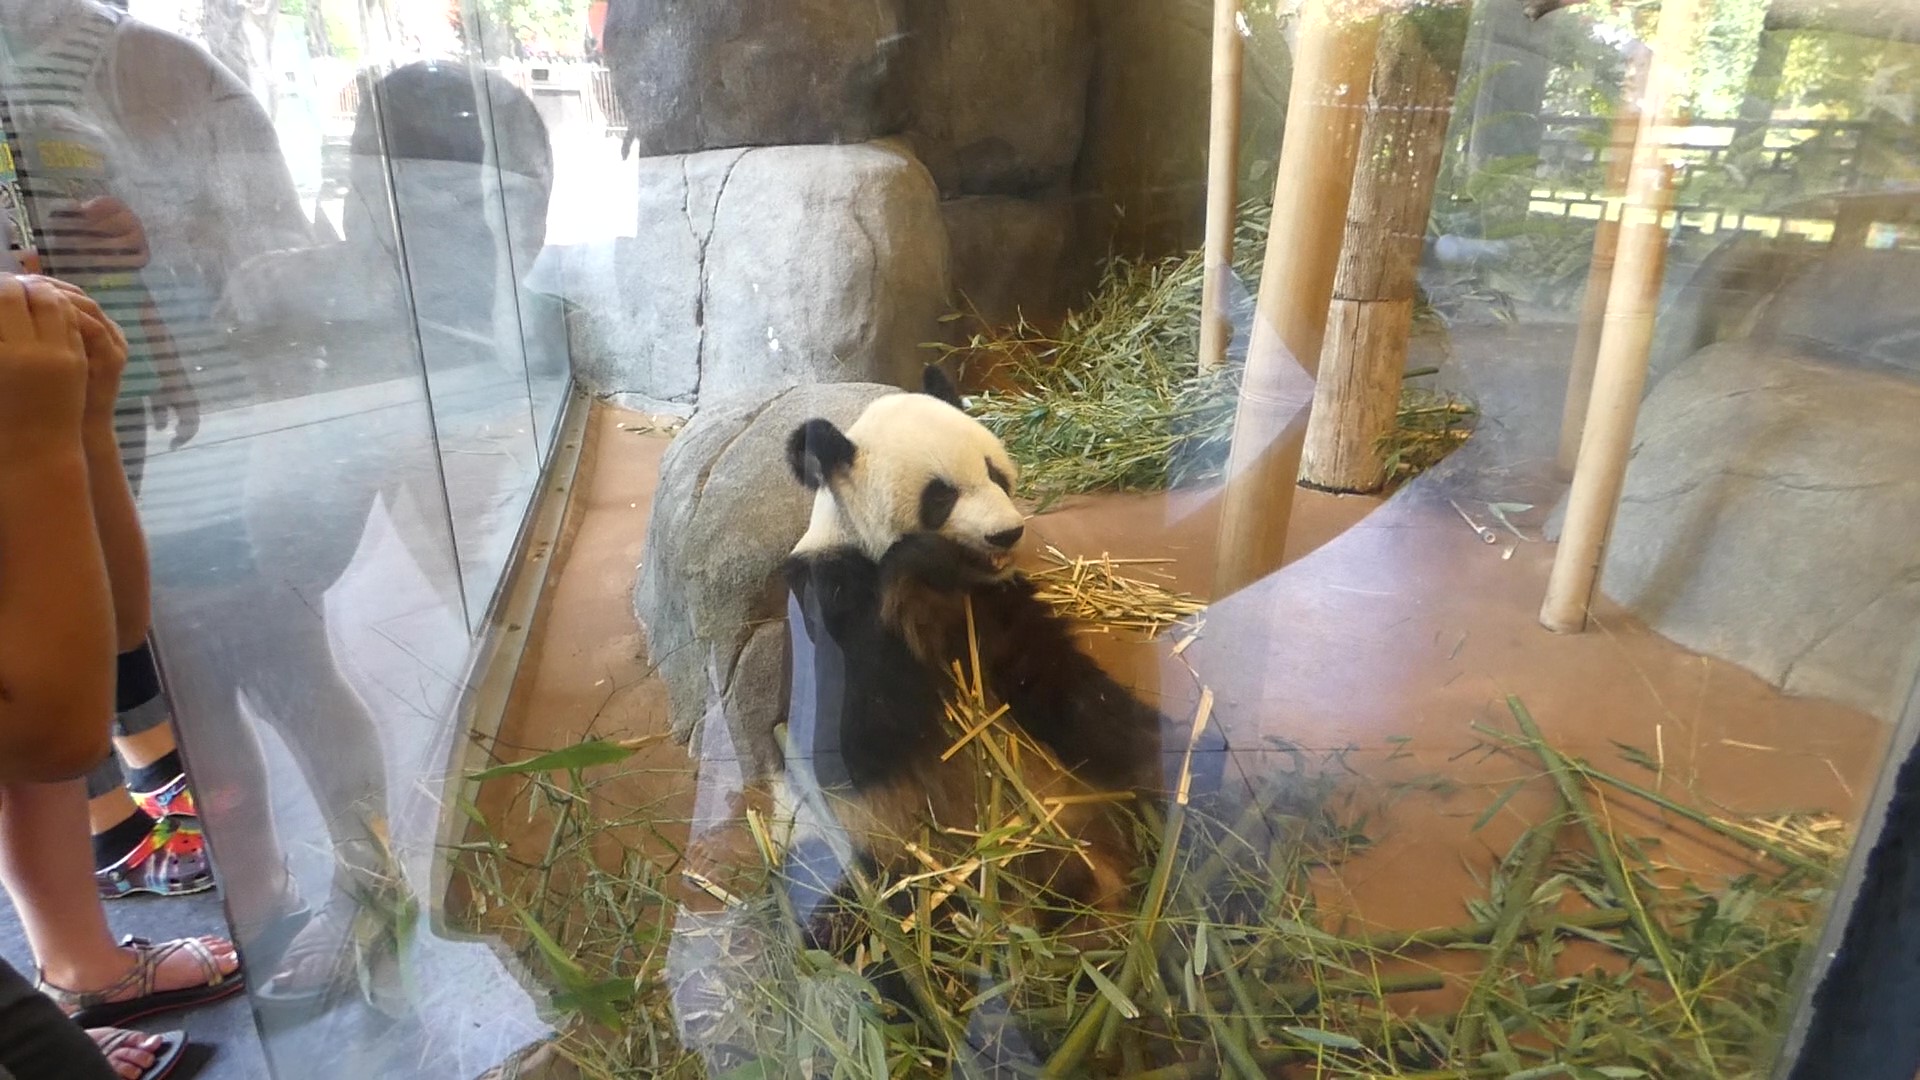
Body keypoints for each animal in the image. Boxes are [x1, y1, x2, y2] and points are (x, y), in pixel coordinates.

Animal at [773, 367, 1170, 949]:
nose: (1007, 532)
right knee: (855, 919)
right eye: (940, 496)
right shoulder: (828, 598)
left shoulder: (992, 605)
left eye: (995, 473)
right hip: (870, 857)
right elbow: (847, 738)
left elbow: (1061, 688)